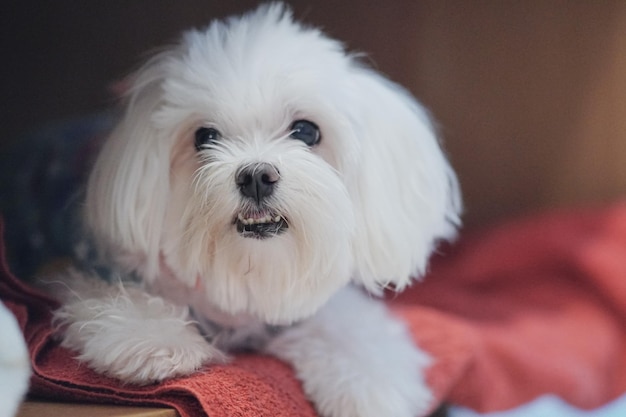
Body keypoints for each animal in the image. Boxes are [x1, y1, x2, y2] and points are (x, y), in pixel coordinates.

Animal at [50, 4, 458, 416]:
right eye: (205, 137)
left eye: (306, 131)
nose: (257, 177)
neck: (248, 277)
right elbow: (115, 296)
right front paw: (154, 338)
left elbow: (347, 329)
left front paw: (368, 383)